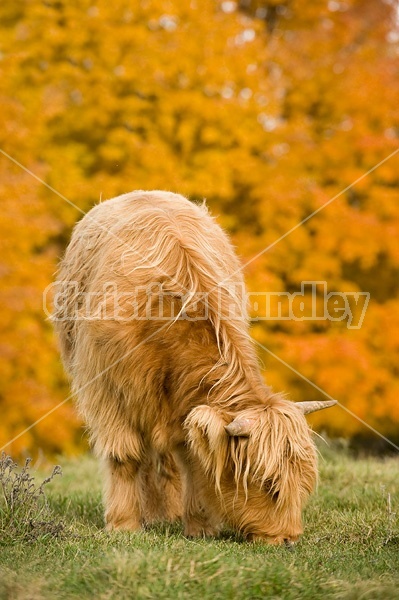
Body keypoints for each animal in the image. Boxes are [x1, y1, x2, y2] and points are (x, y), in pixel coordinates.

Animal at [52, 191, 334, 544]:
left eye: (303, 481)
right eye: (268, 484)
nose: (289, 539)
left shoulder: (184, 405)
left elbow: (193, 459)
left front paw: (199, 526)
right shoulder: (107, 392)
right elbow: (125, 456)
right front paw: (124, 524)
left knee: (165, 459)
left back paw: (168, 513)